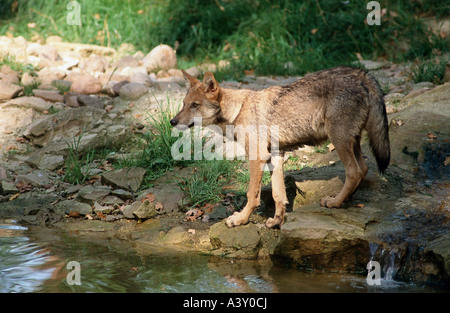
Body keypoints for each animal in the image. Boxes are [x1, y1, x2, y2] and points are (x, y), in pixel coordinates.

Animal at [171, 66, 388, 227]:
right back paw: (345, 200)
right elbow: (278, 195)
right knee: (364, 169)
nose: (172, 121)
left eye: (194, 105)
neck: (238, 110)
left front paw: (240, 219)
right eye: (183, 104)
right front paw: (276, 221)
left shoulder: (257, 157)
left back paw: (334, 202)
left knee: (354, 172)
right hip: (353, 141)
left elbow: (252, 195)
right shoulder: (275, 155)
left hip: (339, 141)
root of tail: (362, 74)